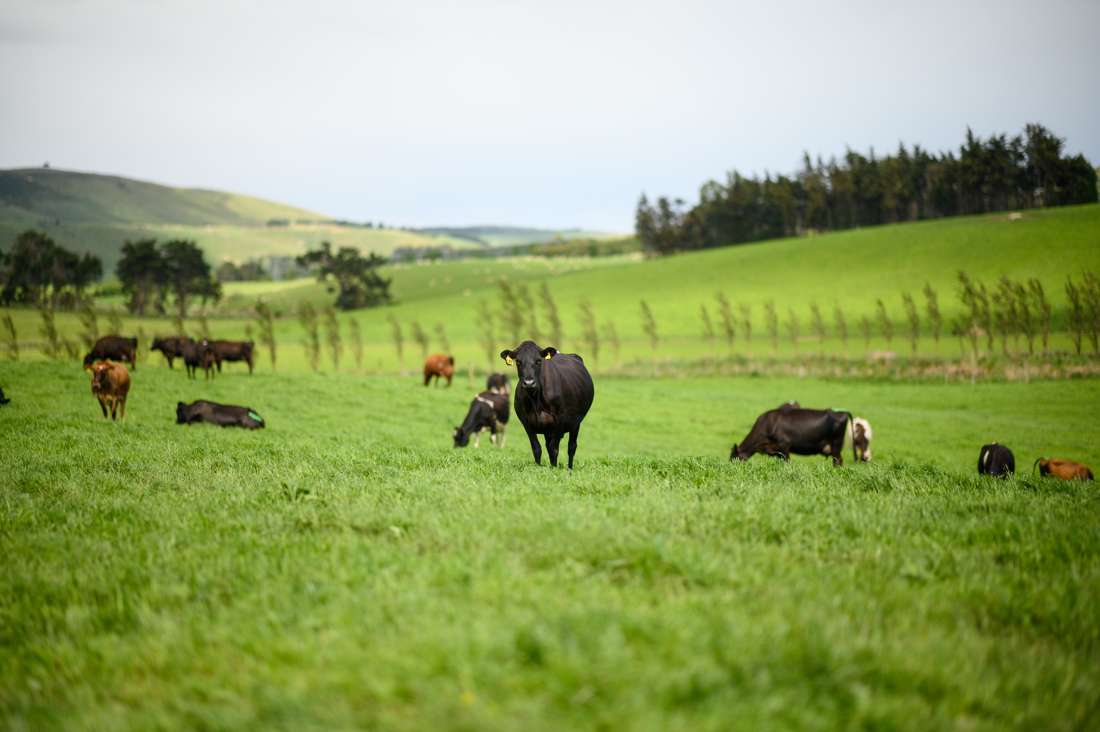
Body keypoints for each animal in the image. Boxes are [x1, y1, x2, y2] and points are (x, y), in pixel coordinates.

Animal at [500, 341, 594, 469]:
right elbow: (537, 448)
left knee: (571, 447)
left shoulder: (560, 418)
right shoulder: (526, 421)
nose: (529, 383)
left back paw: (570, 468)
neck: (536, 400)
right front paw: (539, 468)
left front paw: (554, 468)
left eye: (539, 360)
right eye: (518, 361)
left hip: (576, 422)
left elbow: (554, 449)